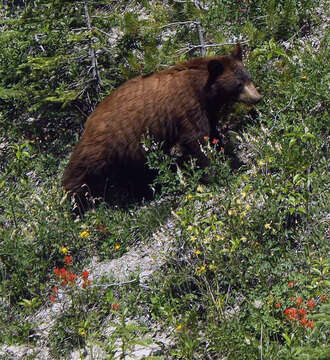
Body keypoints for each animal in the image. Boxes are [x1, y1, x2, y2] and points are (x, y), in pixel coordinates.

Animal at [62, 43, 260, 210]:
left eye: (248, 78)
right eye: (238, 84)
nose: (257, 97)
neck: (201, 89)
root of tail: (89, 119)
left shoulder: (207, 110)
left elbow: (212, 133)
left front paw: (228, 157)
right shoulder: (187, 106)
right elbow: (196, 140)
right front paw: (213, 171)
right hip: (106, 144)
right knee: (81, 172)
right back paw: (78, 203)